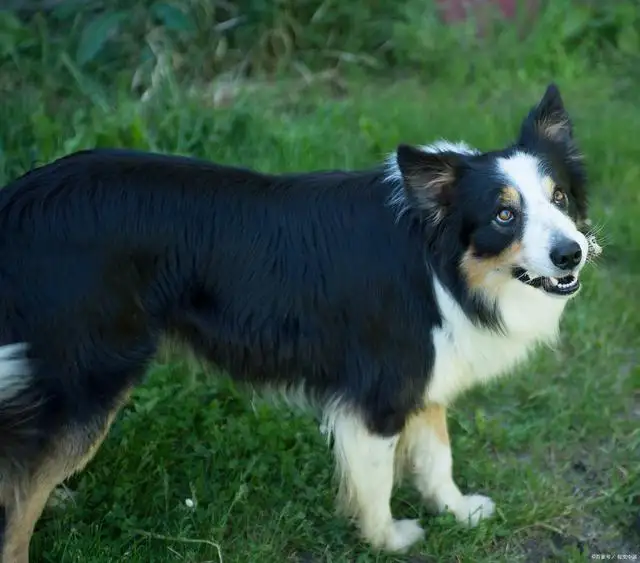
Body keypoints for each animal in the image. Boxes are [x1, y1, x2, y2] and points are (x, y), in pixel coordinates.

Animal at [0, 82, 600, 560]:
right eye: (504, 214)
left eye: (560, 197)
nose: (571, 254)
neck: (439, 260)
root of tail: (18, 202)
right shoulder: (379, 392)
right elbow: (377, 482)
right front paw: (389, 540)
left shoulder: (427, 372)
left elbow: (436, 458)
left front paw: (458, 511)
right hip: (91, 375)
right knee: (20, 501)